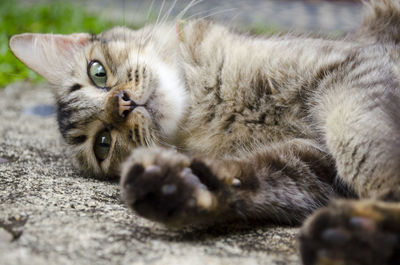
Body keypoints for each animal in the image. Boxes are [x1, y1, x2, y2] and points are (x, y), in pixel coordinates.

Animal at [7, 0, 400, 262]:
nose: (123, 104)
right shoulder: (312, 163)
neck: (216, 106)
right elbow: (257, 176)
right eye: (103, 143)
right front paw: (180, 187)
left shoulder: (356, 71)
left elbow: (364, 151)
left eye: (98, 73)